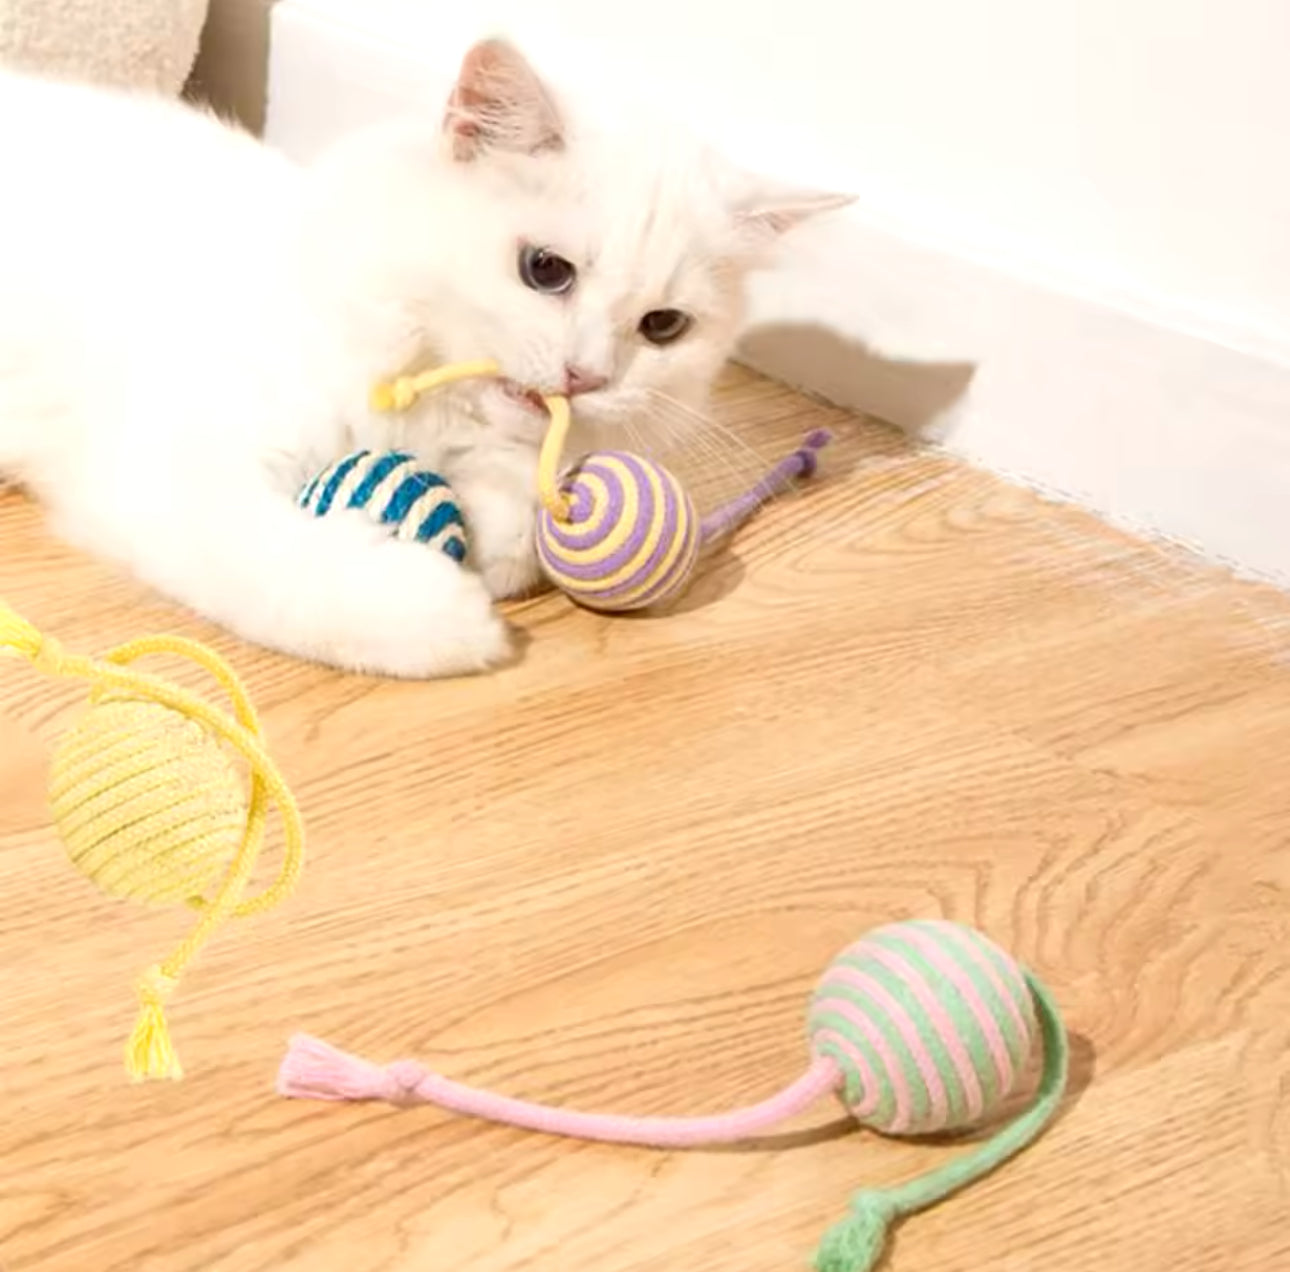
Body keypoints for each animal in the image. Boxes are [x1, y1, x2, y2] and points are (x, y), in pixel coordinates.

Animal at [0, 37, 846, 675]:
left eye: (663, 327)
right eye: (545, 270)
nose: (587, 377)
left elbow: (513, 508)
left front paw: (495, 538)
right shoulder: (174, 468)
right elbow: (287, 568)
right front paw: (446, 618)